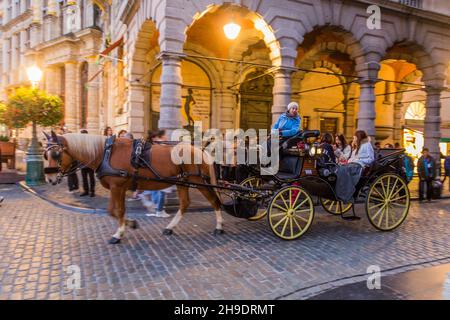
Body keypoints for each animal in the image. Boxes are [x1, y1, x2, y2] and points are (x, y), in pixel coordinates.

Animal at [44, 131, 223, 244]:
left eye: (56, 154)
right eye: (45, 155)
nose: (49, 178)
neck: (105, 154)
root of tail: (200, 149)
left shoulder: (117, 187)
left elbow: (118, 211)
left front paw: (119, 233)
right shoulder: (117, 188)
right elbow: (112, 211)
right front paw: (130, 224)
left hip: (199, 182)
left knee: (215, 201)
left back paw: (219, 227)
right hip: (182, 182)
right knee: (185, 204)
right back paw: (169, 227)